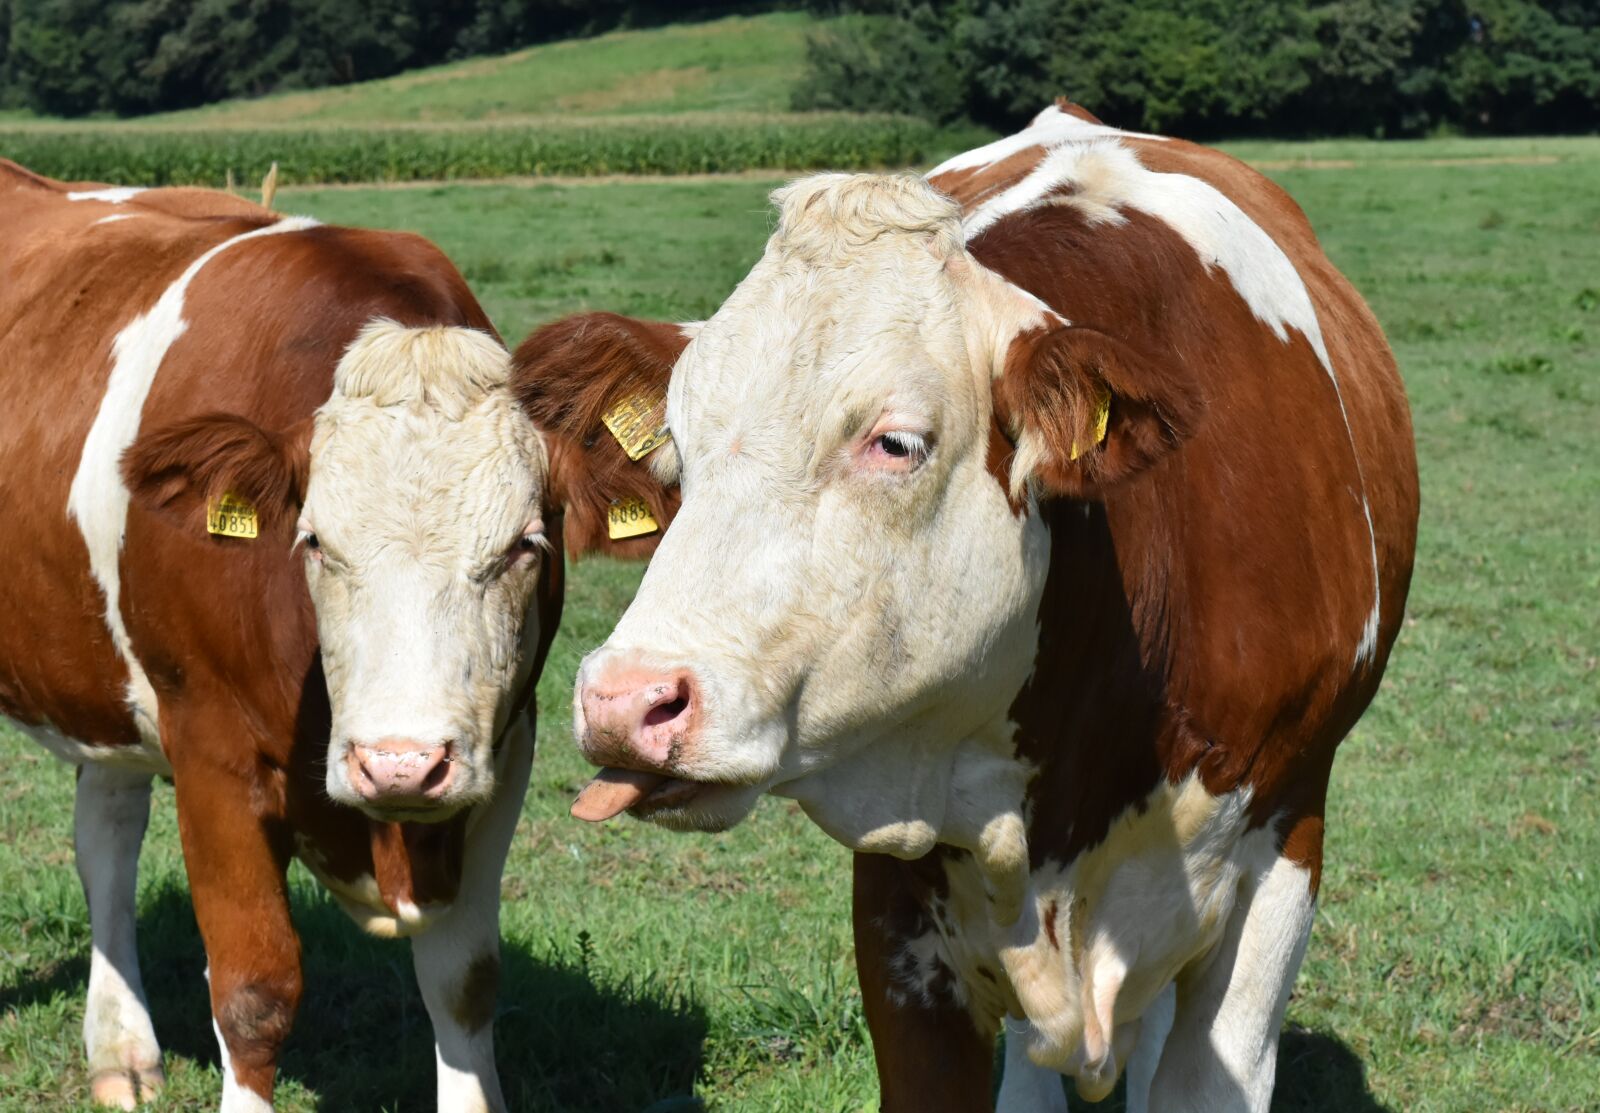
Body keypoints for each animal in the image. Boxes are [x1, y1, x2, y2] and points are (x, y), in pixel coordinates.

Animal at [0, 160, 569, 1112]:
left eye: (525, 545)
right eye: (313, 541)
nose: (401, 763)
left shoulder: (504, 748)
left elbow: (465, 982)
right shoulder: (211, 749)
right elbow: (254, 989)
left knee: (105, 833)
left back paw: (121, 1047)